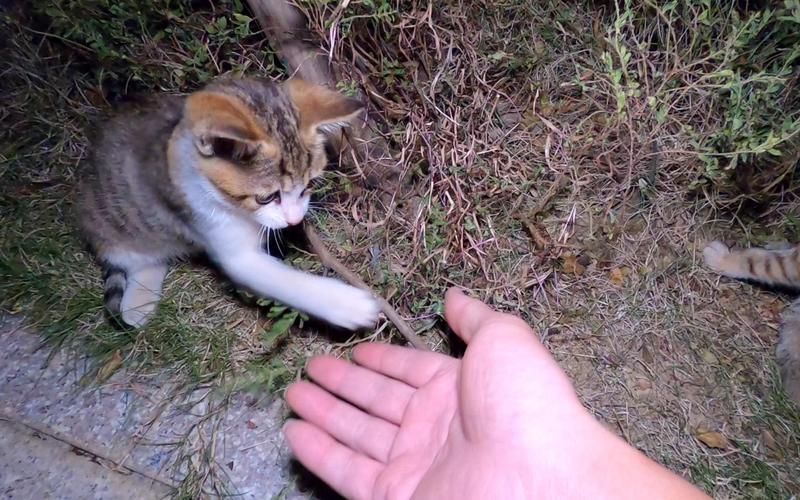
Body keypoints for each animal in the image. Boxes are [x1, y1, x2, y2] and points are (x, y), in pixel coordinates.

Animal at [78, 76, 382, 330]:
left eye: (308, 186)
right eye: (266, 197)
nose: (294, 220)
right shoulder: (209, 224)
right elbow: (275, 277)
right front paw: (345, 303)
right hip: (118, 230)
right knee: (139, 257)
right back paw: (137, 302)